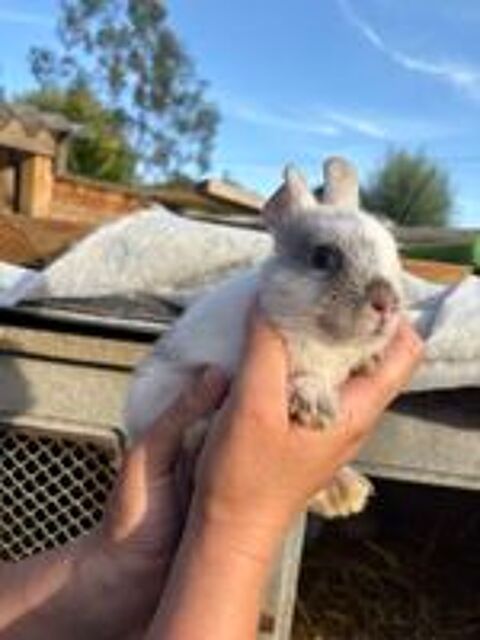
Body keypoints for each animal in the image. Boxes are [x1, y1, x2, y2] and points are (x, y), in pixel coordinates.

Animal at [125, 157, 404, 518]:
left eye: (395, 255)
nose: (387, 302)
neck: (326, 344)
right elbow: (306, 378)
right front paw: (315, 404)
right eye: (323, 257)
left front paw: (370, 361)